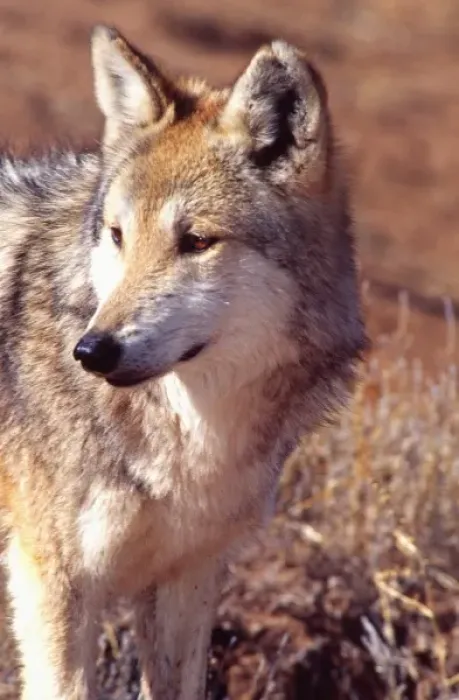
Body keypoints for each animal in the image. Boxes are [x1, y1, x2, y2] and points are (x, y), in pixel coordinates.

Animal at [0, 24, 367, 700]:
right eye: (117, 235)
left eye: (196, 241)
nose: (91, 351)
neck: (192, 436)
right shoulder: (53, 581)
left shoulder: (186, 577)